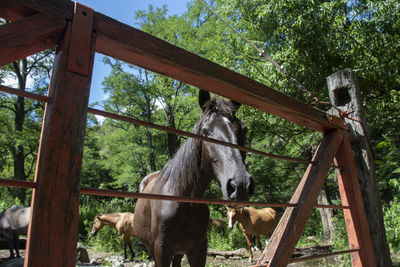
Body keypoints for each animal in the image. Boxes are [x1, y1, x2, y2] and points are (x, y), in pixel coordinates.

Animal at [134, 90, 253, 267]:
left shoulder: (198, 249)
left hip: (178, 251)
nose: (241, 185)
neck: (182, 201)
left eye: (244, 130)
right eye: (205, 131)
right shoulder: (161, 250)